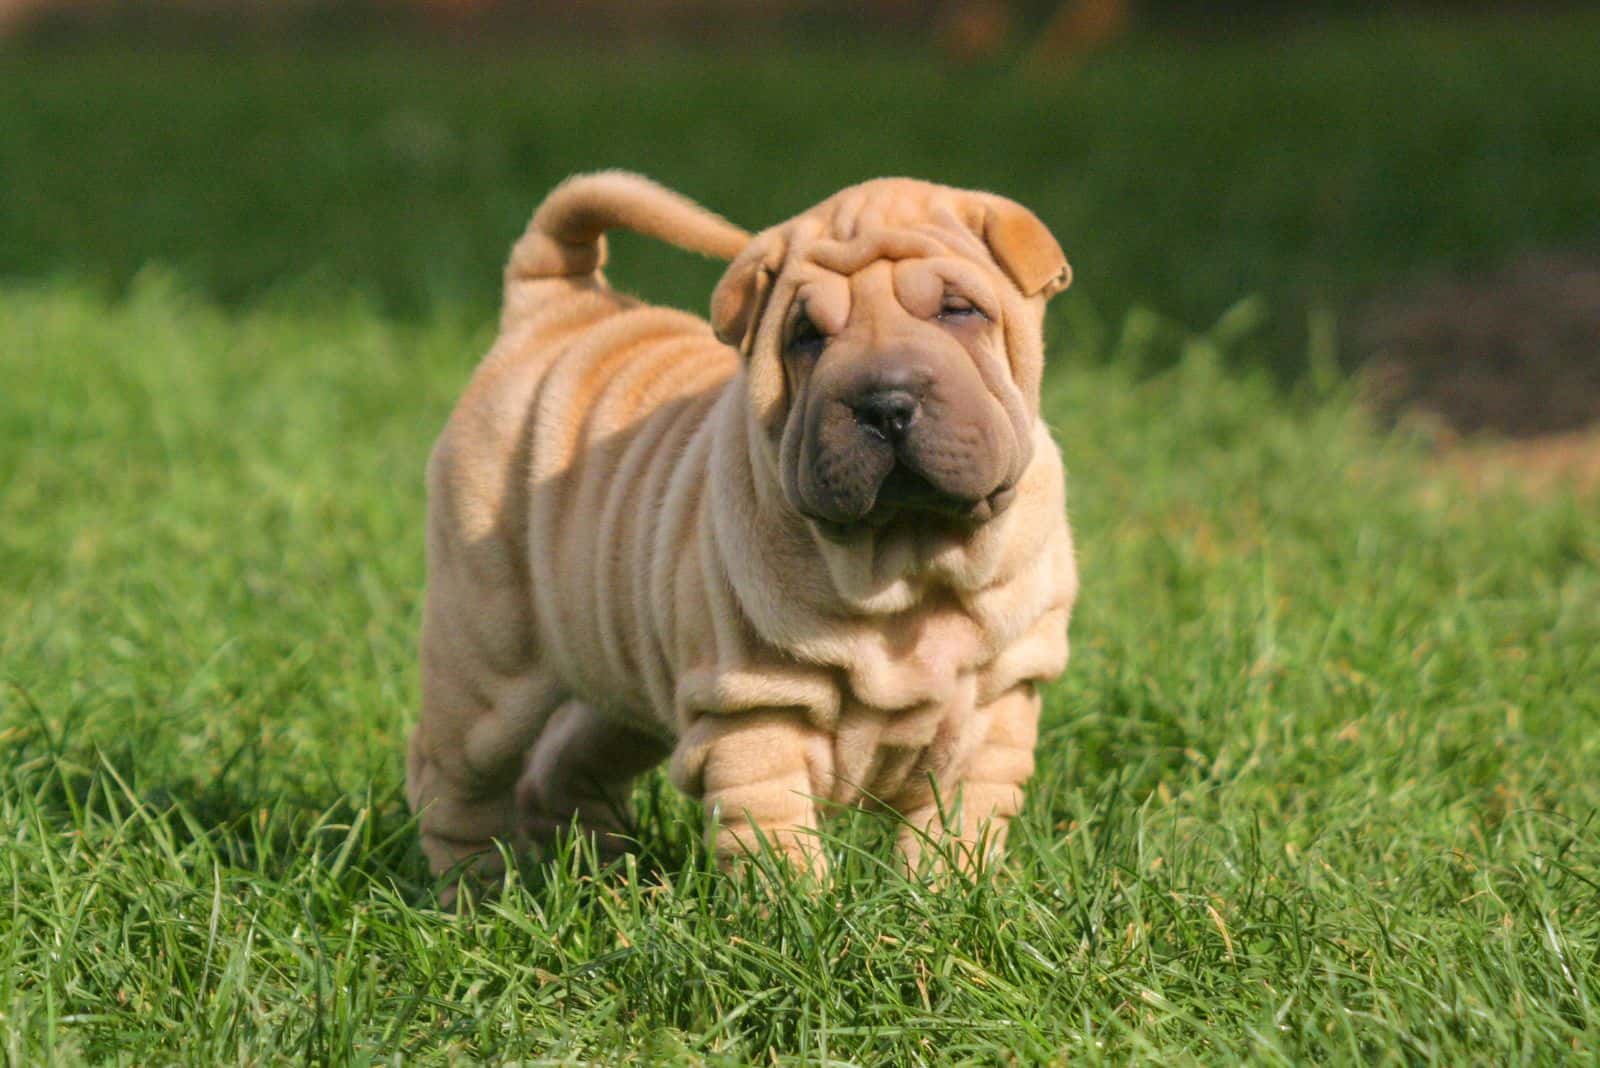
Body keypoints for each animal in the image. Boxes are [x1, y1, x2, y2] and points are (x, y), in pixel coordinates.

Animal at [406, 171, 1081, 882]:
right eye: (806, 335)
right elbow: (774, 839)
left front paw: (945, 894)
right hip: (486, 663)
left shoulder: (995, 707)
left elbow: (956, 828)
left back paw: (603, 874)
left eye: (959, 311)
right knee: (455, 779)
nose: (884, 403)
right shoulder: (756, 712)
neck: (906, 560)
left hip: (618, 668)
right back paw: (477, 886)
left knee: (569, 761)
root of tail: (553, 308)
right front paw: (801, 907)